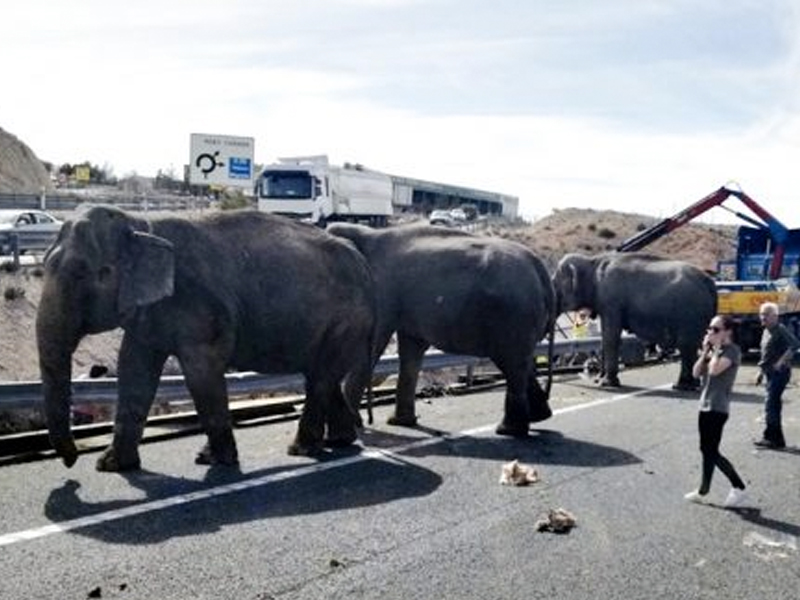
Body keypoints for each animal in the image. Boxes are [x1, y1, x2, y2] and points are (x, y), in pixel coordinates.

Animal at [36, 206, 375, 471]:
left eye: (87, 273)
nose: (71, 461)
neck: (142, 225)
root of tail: (363, 264)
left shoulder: (199, 305)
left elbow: (201, 372)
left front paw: (213, 460)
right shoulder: (149, 311)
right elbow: (134, 369)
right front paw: (111, 466)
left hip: (346, 320)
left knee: (320, 378)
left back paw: (302, 449)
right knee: (322, 376)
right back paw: (339, 441)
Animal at [327, 222, 556, 437]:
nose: (368, 422)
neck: (366, 233)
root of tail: (540, 268)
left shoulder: (383, 293)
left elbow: (376, 344)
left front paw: (356, 424)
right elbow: (410, 350)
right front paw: (400, 422)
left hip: (513, 316)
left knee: (512, 364)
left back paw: (508, 430)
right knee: (520, 364)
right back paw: (539, 417)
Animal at [552, 252, 717, 389]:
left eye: (553, 284)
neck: (592, 261)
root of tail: (709, 282)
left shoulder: (612, 301)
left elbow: (611, 337)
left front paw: (607, 384)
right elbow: (604, 336)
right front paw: (599, 380)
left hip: (690, 313)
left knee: (686, 346)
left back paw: (681, 386)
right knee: (695, 345)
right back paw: (692, 384)